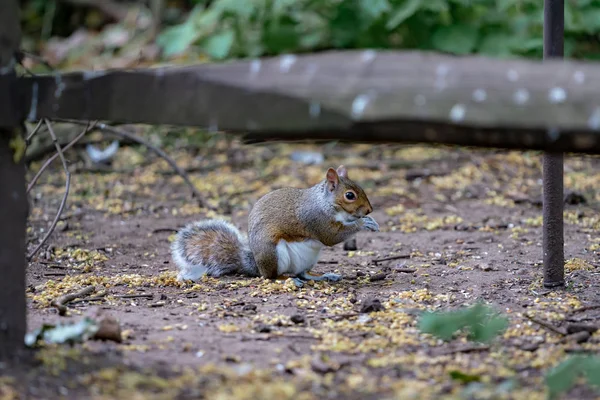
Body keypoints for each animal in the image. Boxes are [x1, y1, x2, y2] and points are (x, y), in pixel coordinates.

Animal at [169, 166, 378, 288]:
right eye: (349, 195)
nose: (369, 209)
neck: (324, 202)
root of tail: (256, 265)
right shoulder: (315, 219)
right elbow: (332, 236)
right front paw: (364, 223)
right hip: (273, 253)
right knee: (271, 276)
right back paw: (288, 280)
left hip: (309, 258)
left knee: (303, 273)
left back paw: (323, 275)